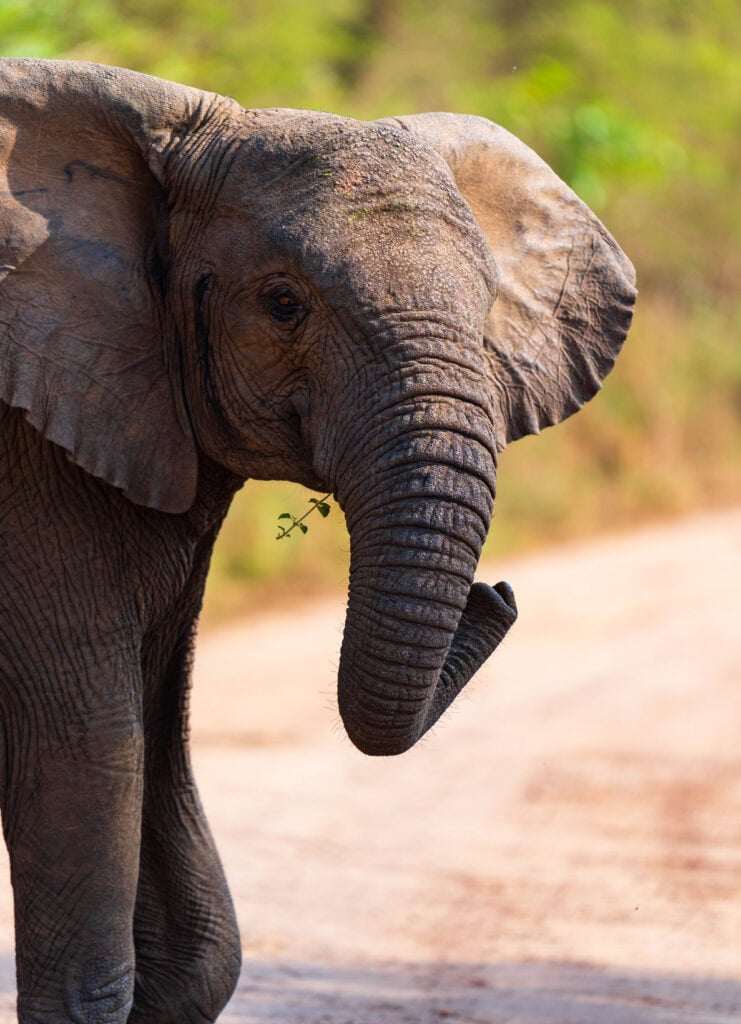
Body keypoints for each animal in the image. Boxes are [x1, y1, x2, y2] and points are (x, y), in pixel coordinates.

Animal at [0, 58, 635, 1022]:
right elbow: (87, 744)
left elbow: (158, 738)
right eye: (282, 304)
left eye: (486, 302)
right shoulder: (24, 475)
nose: (495, 592)